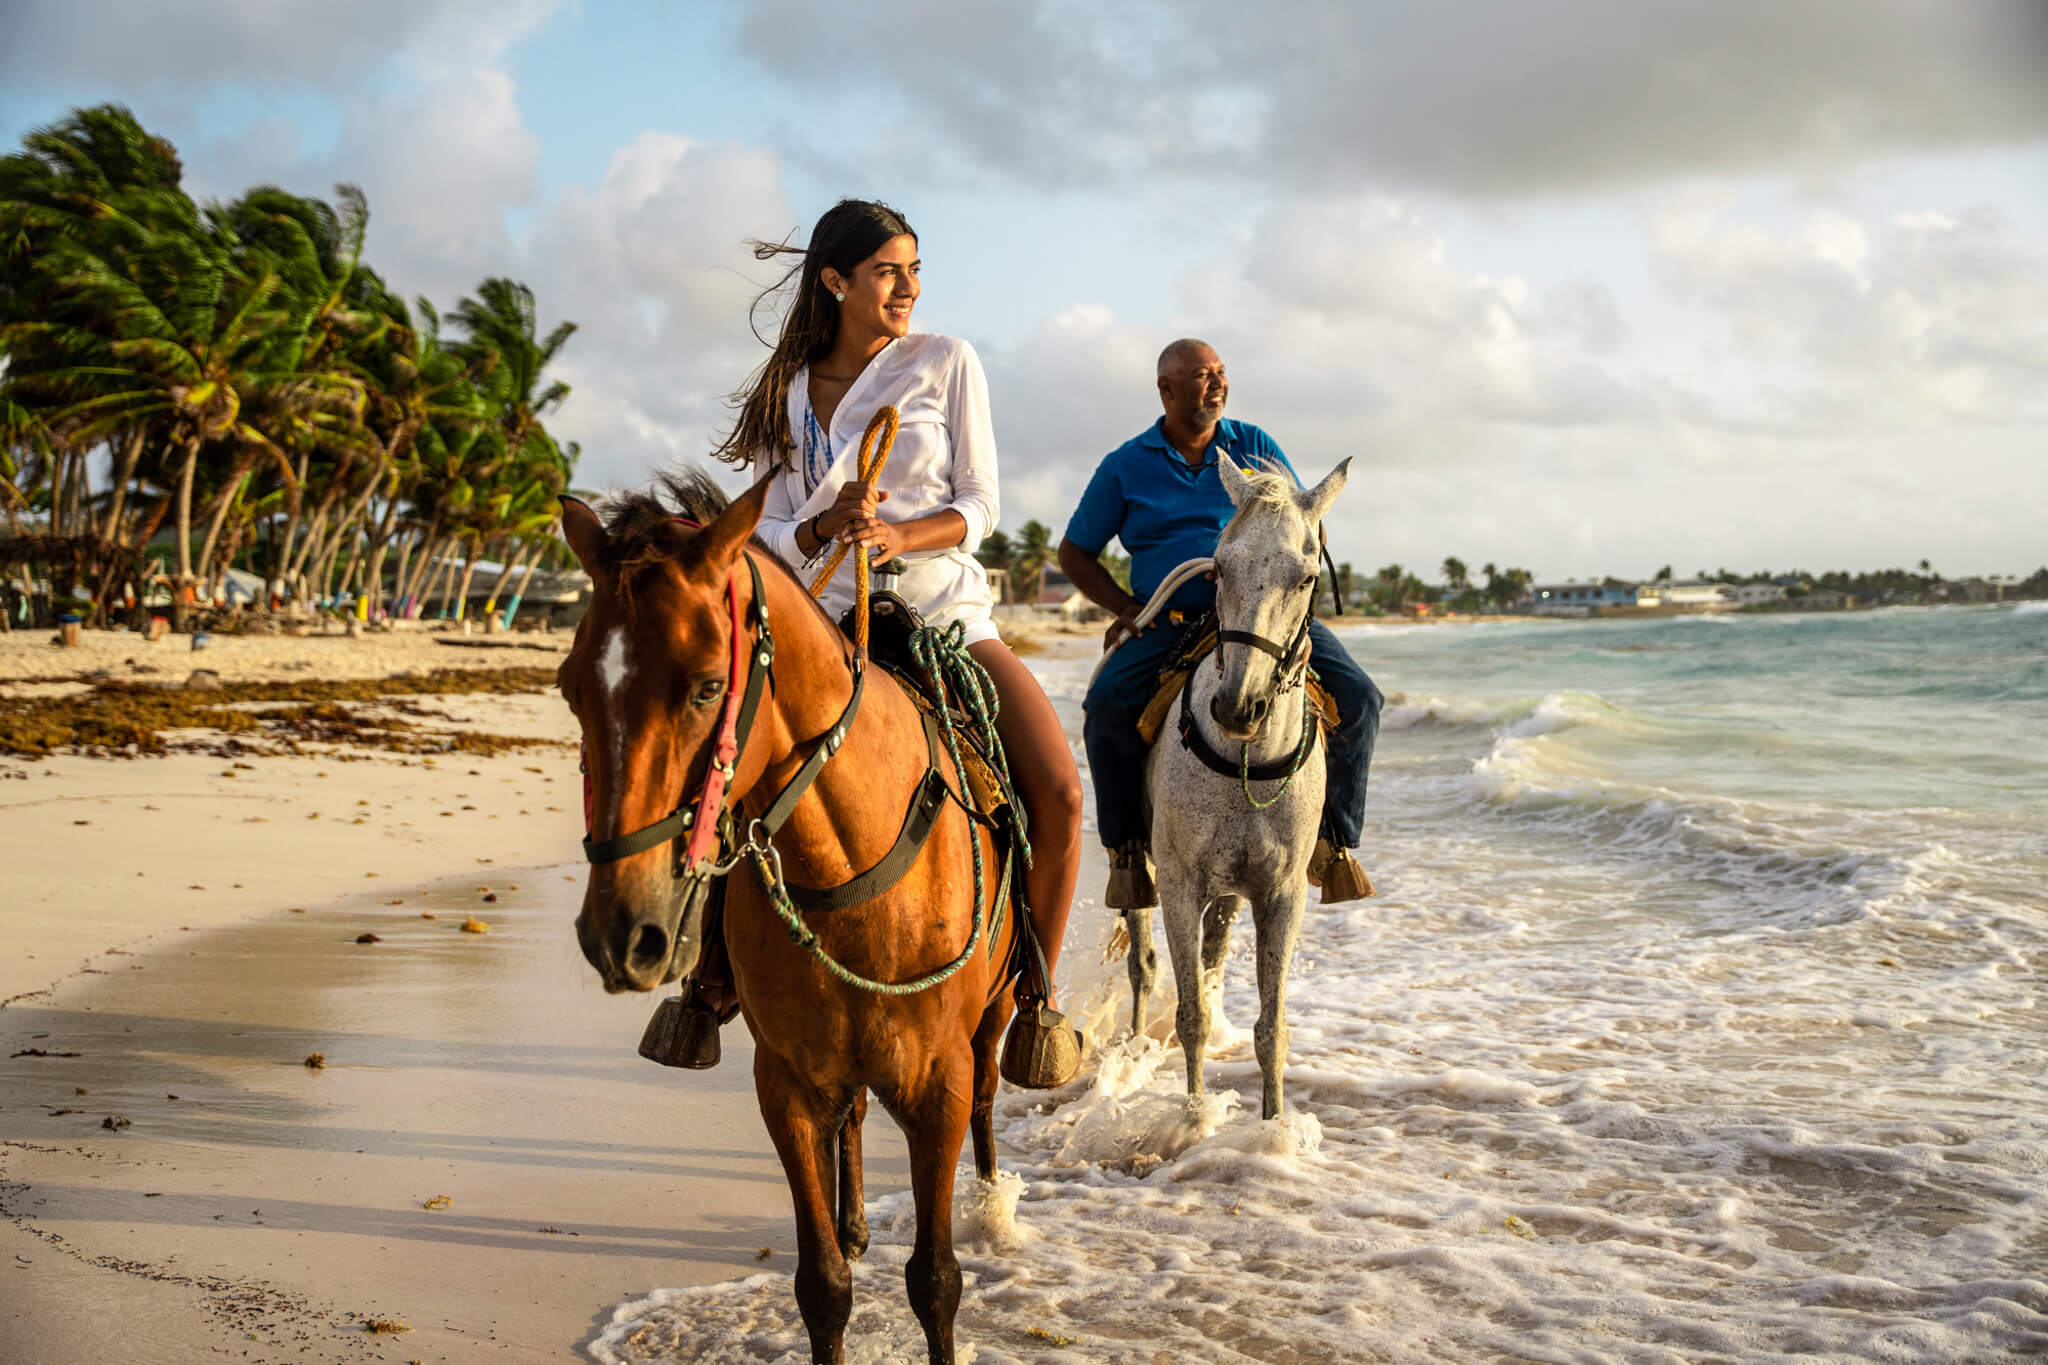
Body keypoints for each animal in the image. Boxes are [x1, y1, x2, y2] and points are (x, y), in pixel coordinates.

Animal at [557, 472, 1019, 1365]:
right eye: (571, 687)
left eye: (708, 685)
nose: (620, 934)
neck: (852, 880)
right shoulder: (790, 1083)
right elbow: (823, 1285)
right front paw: (840, 1247)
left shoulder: (938, 1084)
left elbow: (936, 1279)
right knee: (855, 1119)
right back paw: (857, 1221)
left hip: (998, 1016)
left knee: (989, 1095)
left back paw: (993, 1204)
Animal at [1122, 456, 1343, 1121]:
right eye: (1220, 566)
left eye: (1305, 578)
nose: (1237, 708)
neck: (1249, 761)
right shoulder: (1178, 885)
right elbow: (1190, 1016)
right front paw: (1195, 1119)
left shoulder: (1281, 894)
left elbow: (1272, 1031)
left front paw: (1273, 1127)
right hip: (1141, 867)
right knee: (1142, 964)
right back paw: (1133, 1048)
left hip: (1229, 894)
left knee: (1212, 959)